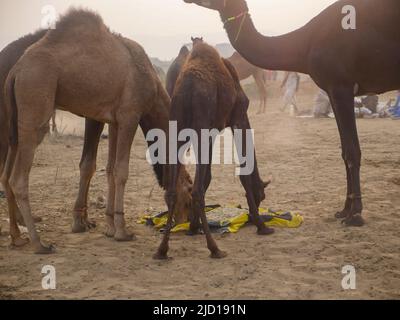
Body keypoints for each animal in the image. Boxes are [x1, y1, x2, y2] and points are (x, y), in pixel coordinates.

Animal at [0, 10, 194, 254]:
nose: (190, 226)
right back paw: (39, 243)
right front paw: (122, 231)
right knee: (18, 178)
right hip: (35, 100)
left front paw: (110, 227)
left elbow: (110, 169)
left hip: (14, 121)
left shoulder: (114, 120)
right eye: (190, 192)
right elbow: (121, 171)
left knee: (7, 174)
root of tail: (15, 71)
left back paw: (17, 238)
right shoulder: (130, 115)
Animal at [153, 40, 272, 260]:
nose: (252, 218)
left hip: (178, 129)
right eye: (262, 195)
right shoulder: (238, 116)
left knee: (172, 191)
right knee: (197, 190)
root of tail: (187, 88)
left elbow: (207, 177)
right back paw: (215, 248)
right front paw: (263, 226)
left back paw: (162, 250)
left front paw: (193, 227)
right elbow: (242, 173)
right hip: (200, 128)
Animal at [184, 0, 400, 228]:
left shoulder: (342, 86)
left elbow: (352, 151)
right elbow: (344, 151)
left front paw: (356, 214)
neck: (304, 44)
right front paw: (344, 210)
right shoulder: (333, 89)